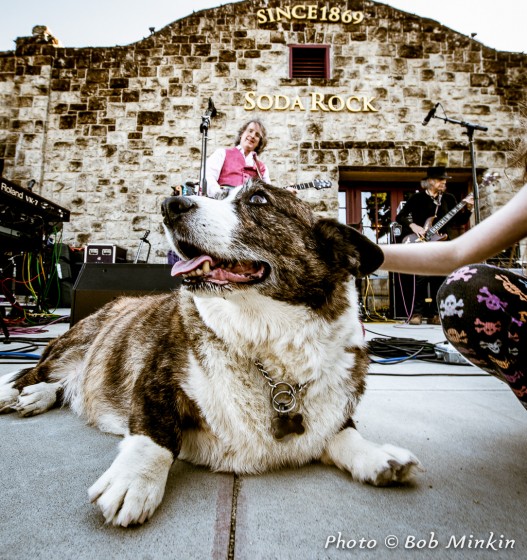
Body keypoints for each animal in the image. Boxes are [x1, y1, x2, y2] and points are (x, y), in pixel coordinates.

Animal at [0, 182, 420, 528]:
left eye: (258, 199)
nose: (169, 205)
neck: (267, 342)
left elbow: (342, 431)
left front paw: (377, 456)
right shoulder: (157, 374)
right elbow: (157, 433)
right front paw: (133, 479)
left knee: (60, 385)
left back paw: (35, 399)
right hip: (74, 343)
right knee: (36, 371)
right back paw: (16, 392)